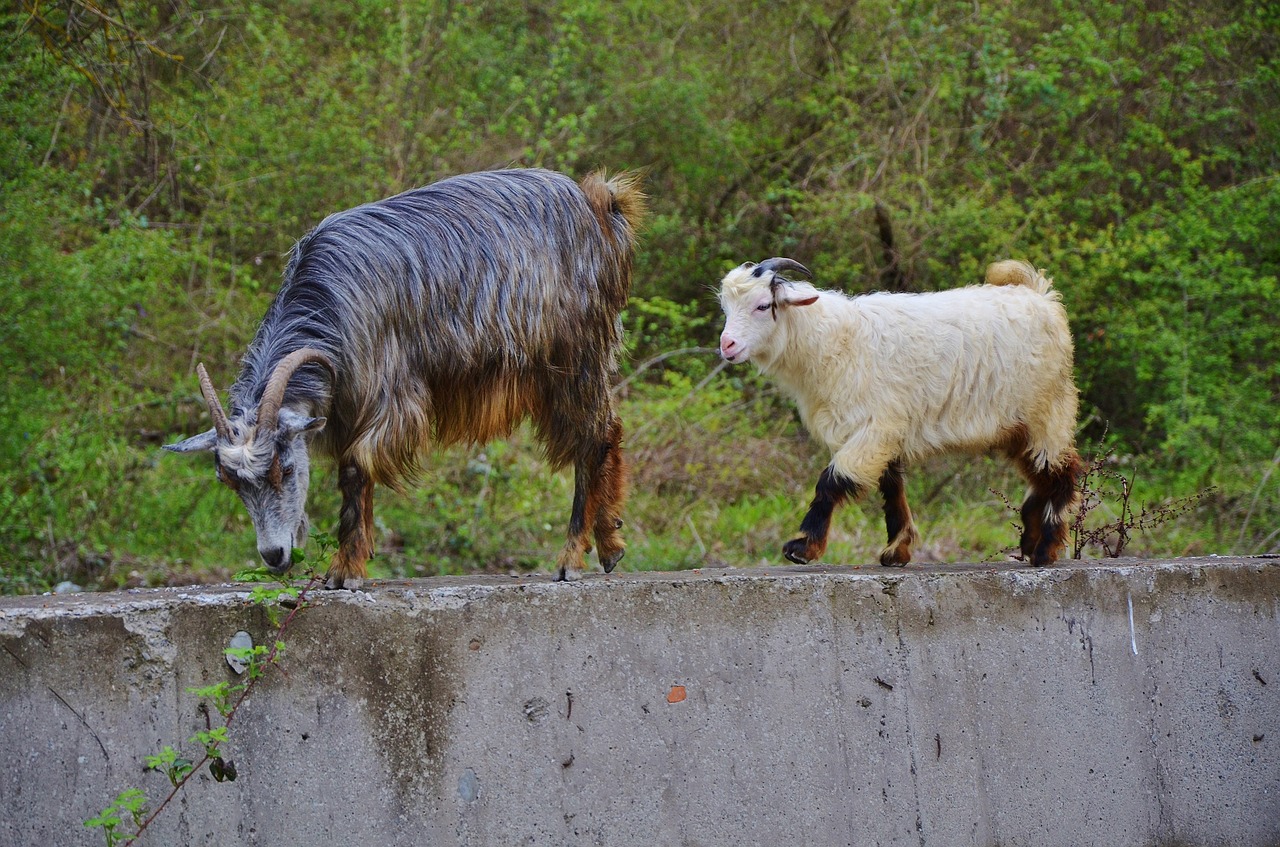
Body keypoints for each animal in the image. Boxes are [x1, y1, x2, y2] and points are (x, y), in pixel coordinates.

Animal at [166, 168, 645, 587]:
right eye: (230, 482)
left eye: (285, 468)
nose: (275, 556)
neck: (329, 302)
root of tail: (598, 205)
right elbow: (354, 477)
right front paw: (358, 556)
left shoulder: (390, 393)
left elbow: (356, 468)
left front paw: (345, 569)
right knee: (610, 429)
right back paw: (610, 543)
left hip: (574, 359)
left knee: (591, 438)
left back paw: (572, 557)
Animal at [717, 257, 1080, 567]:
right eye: (727, 307)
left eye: (763, 305)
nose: (727, 345)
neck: (834, 343)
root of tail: (1038, 294)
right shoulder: (884, 432)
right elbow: (892, 489)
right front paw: (897, 550)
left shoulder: (875, 425)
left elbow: (831, 482)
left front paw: (803, 547)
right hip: (1017, 426)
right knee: (1041, 474)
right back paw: (1030, 541)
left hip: (1048, 411)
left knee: (1063, 471)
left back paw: (1046, 550)